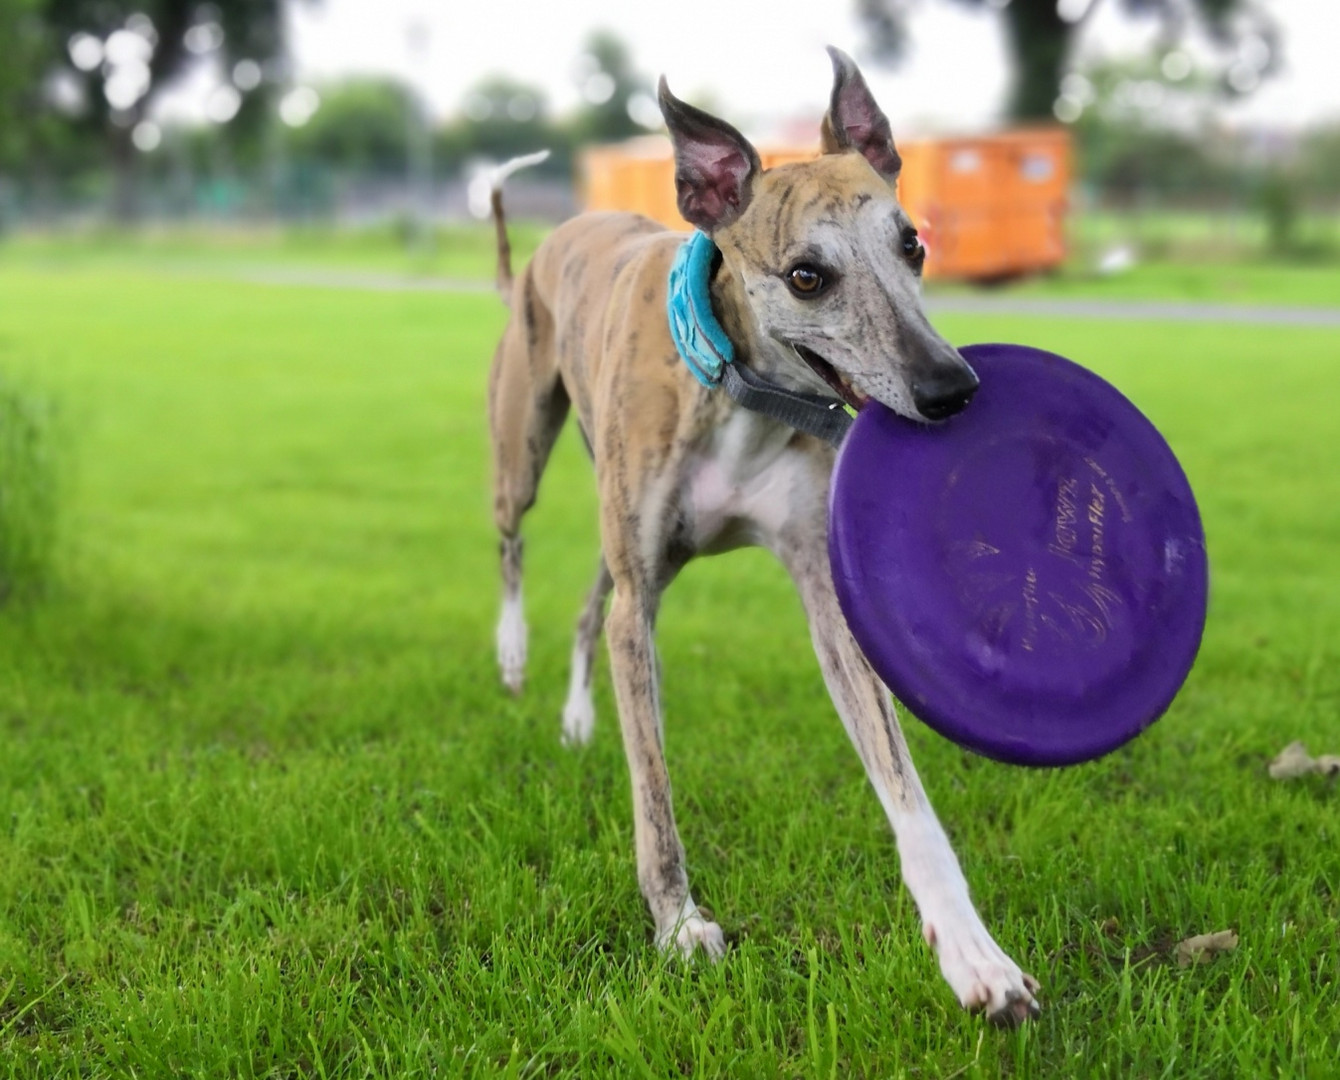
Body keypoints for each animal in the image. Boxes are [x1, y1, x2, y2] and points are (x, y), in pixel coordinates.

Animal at [487, 48, 1039, 1023]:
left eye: (914, 244)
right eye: (807, 276)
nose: (953, 391)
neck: (740, 389)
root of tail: (561, 232)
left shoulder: (826, 596)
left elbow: (909, 795)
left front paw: (975, 954)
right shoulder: (644, 606)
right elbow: (654, 792)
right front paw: (679, 924)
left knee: (592, 605)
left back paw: (578, 715)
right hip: (527, 445)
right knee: (513, 538)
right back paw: (512, 651)